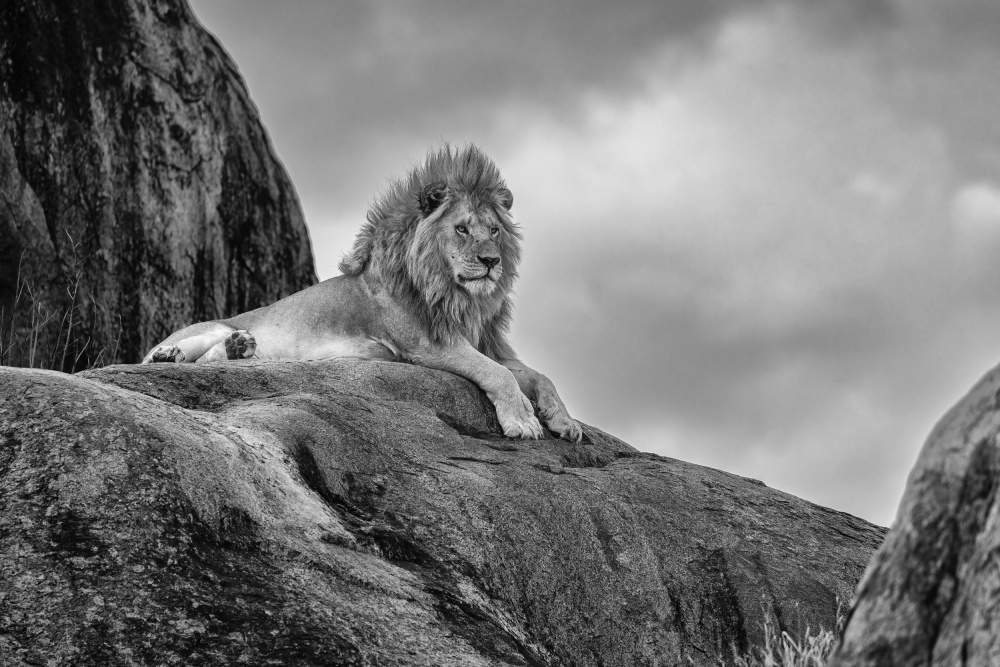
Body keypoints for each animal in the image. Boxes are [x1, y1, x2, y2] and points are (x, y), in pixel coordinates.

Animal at [142, 144, 581, 441]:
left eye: (493, 230)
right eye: (461, 229)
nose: (492, 261)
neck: (456, 294)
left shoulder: (482, 343)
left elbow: (538, 375)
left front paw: (564, 420)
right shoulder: (427, 344)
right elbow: (497, 374)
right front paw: (523, 420)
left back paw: (235, 349)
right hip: (210, 327)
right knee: (168, 358)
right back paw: (172, 354)